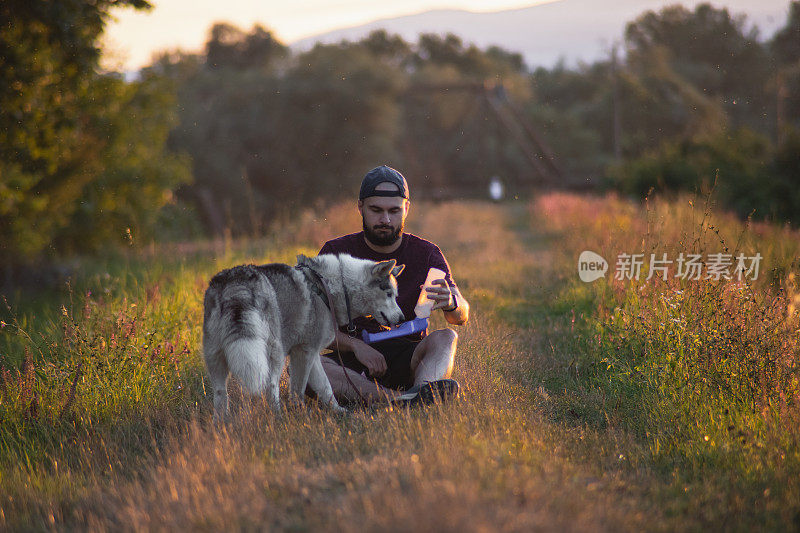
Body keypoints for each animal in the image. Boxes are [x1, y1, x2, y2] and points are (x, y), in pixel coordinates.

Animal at [203, 251, 404, 418]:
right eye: (389, 294)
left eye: (396, 295)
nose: (402, 318)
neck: (329, 287)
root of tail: (234, 282)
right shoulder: (304, 352)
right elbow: (298, 390)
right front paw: (299, 412)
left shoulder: (312, 354)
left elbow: (325, 387)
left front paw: (339, 411)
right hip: (274, 356)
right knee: (271, 386)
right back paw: (278, 418)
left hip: (216, 357)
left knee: (220, 394)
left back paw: (222, 425)